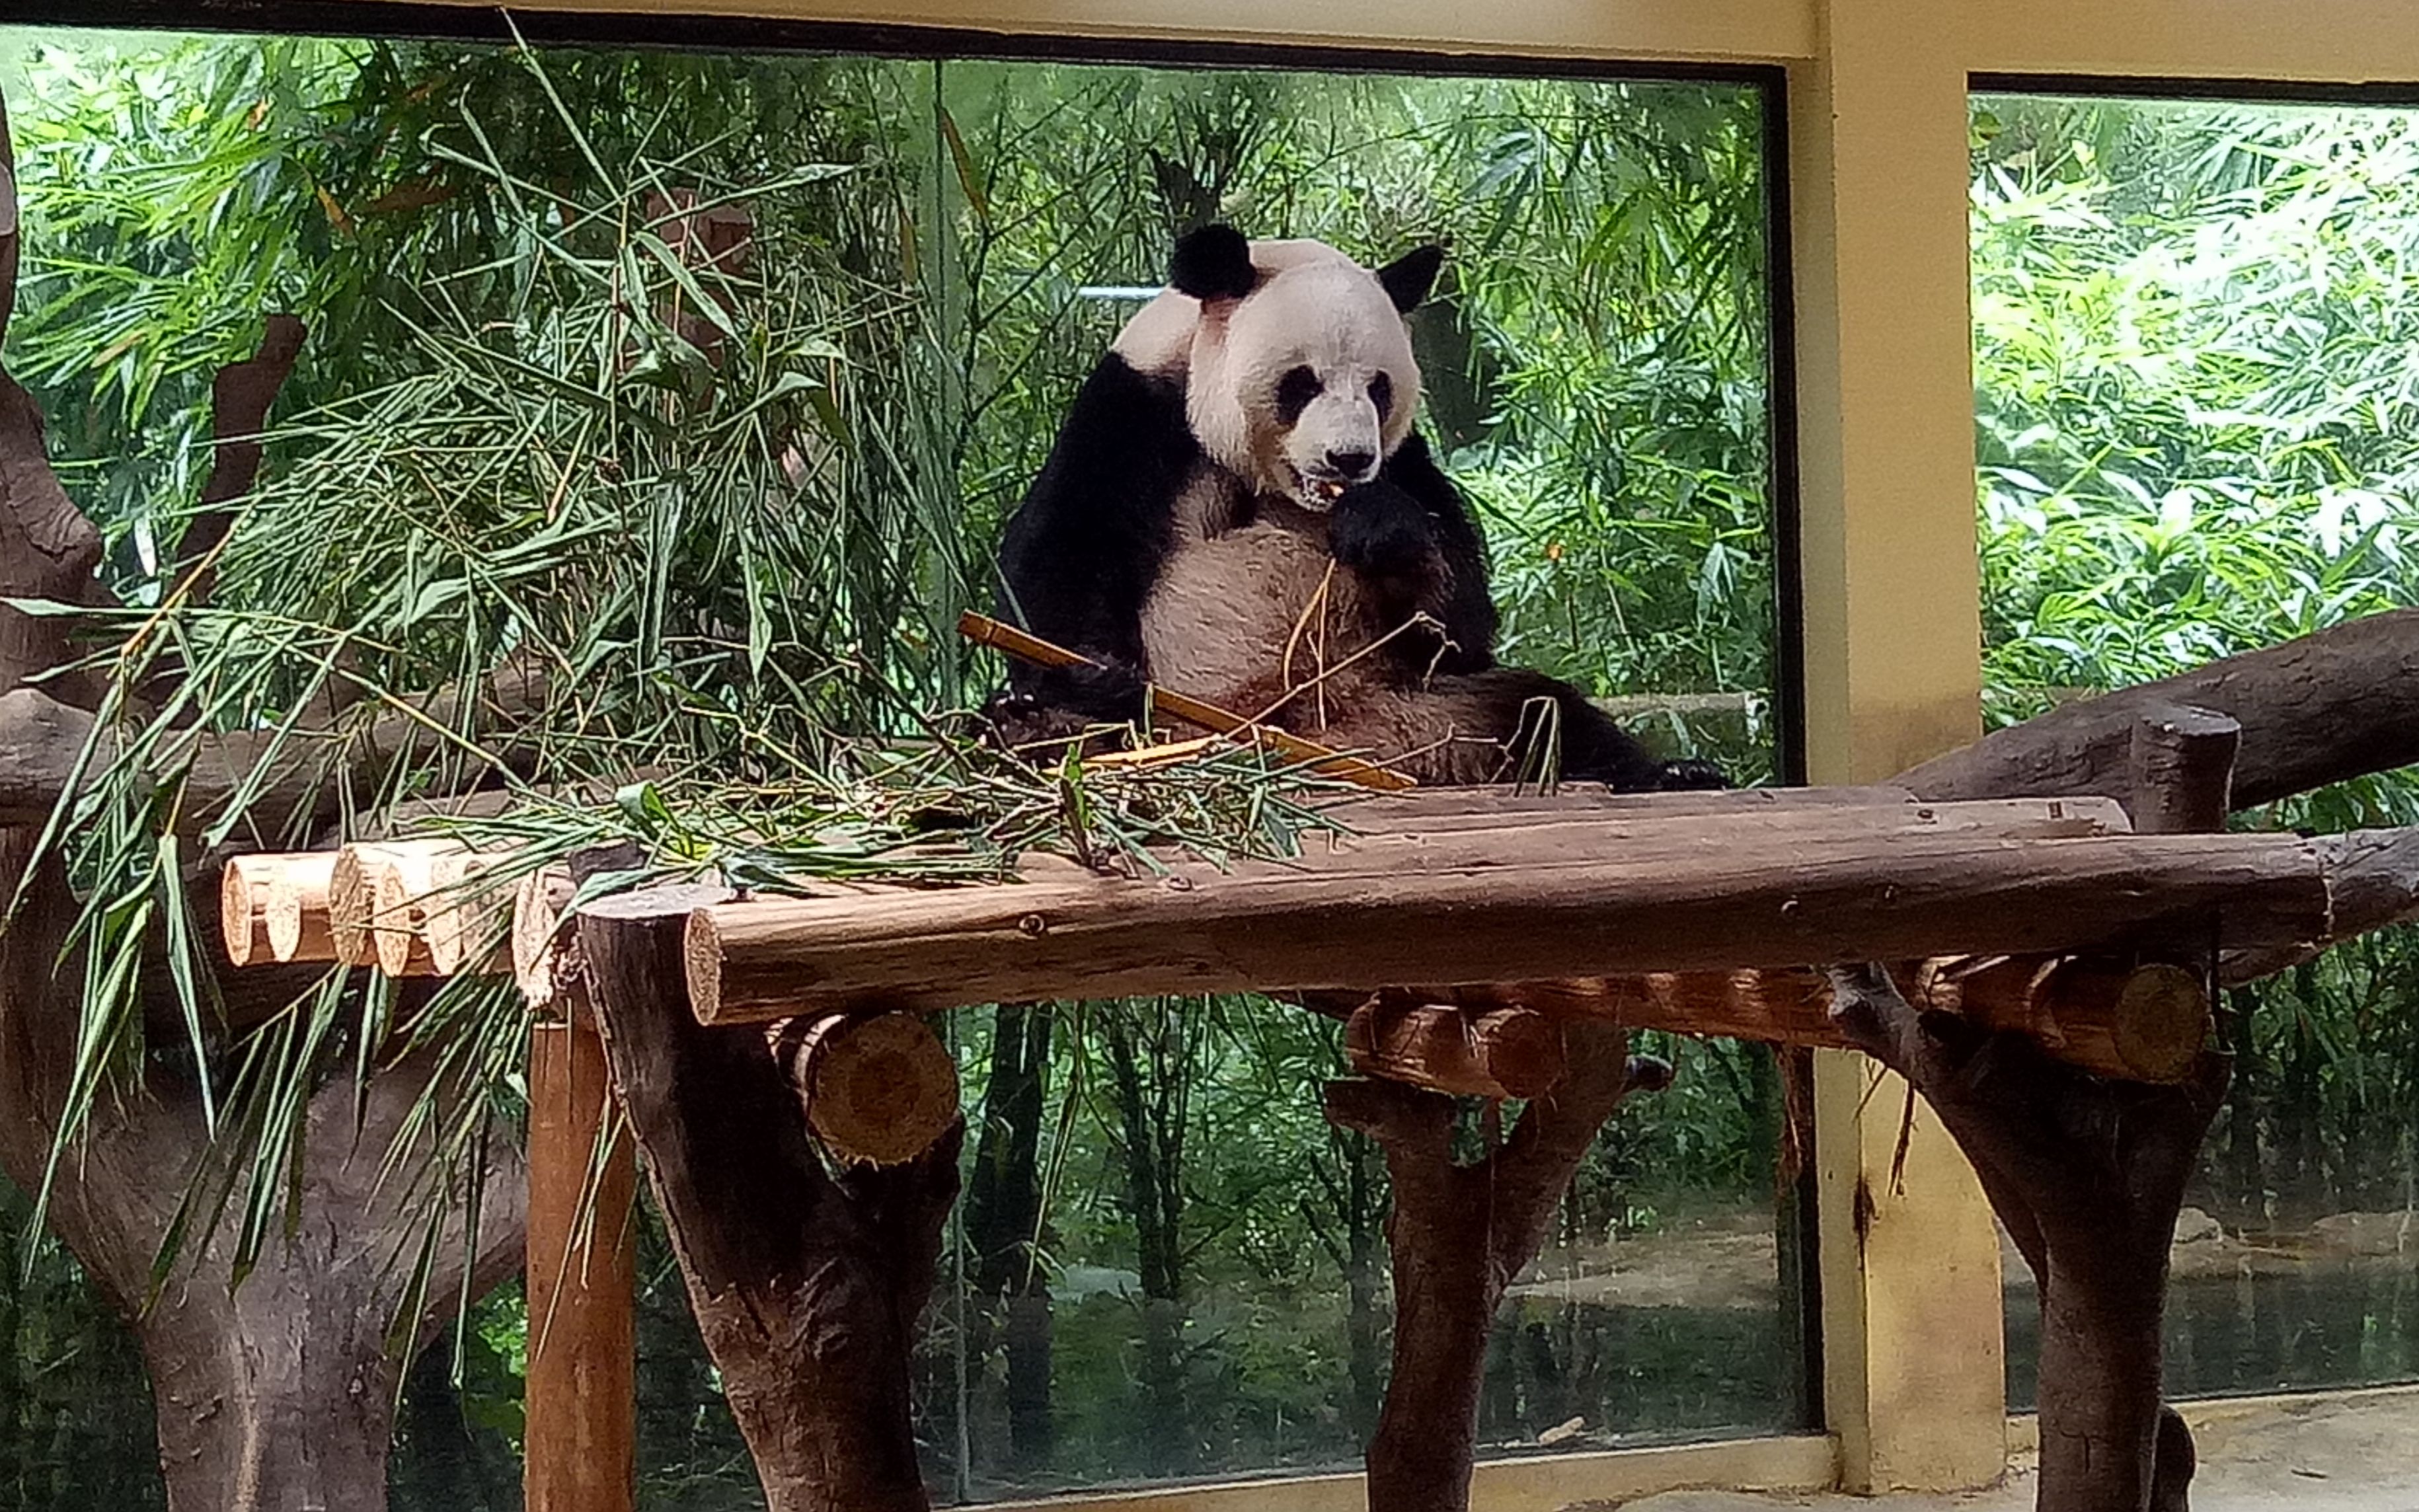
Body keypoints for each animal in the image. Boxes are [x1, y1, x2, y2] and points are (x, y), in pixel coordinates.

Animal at [991, 223, 1732, 788]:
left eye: (1378, 387)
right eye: (1302, 382)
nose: (1349, 460)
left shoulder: (1404, 459)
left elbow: (1459, 620)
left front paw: (1379, 528)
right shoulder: (1134, 415)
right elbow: (1058, 554)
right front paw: (1099, 673)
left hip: (1428, 710)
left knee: (1539, 709)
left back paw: (1673, 773)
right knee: (1038, 732)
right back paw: (1035, 722)